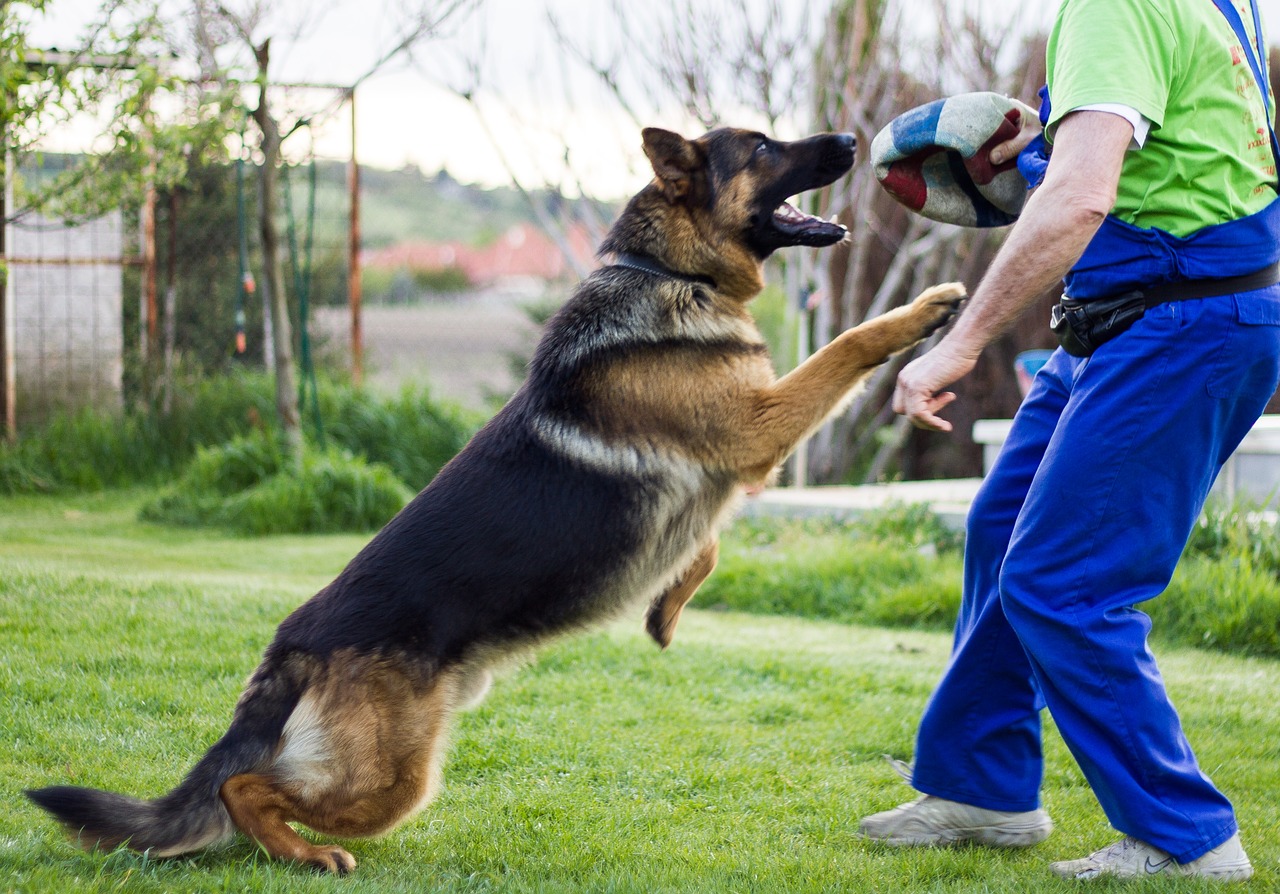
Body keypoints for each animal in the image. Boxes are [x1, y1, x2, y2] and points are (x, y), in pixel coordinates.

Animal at [24, 125, 962, 870]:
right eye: (765, 147)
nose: (851, 140)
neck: (664, 270)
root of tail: (293, 640)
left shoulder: (737, 460)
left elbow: (707, 542)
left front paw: (667, 606)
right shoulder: (758, 428)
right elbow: (847, 346)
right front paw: (923, 311)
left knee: (249, 788)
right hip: (392, 779)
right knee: (245, 789)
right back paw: (305, 853)